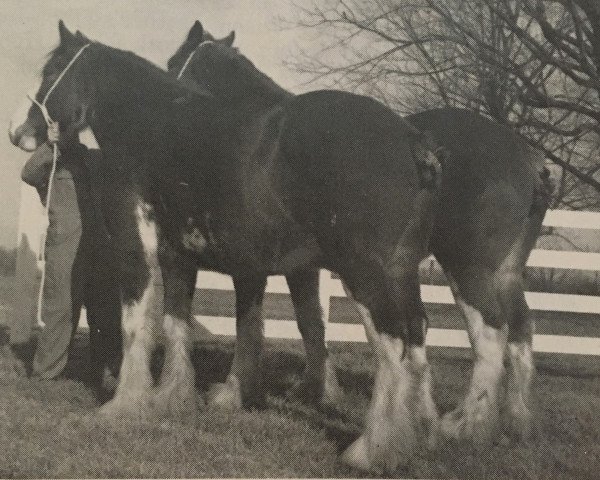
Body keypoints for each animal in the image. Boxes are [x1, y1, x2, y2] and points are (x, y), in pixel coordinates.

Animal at [7, 22, 442, 472]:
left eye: (52, 69)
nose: (17, 132)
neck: (153, 129)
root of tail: (412, 140)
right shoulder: (179, 258)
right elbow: (178, 323)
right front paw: (172, 398)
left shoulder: (138, 252)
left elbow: (136, 324)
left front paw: (125, 403)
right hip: (403, 271)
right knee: (416, 331)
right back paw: (425, 432)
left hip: (365, 273)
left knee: (391, 345)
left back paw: (371, 450)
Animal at [169, 20, 552, 450]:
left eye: (173, 62)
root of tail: (527, 157)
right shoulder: (304, 266)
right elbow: (311, 321)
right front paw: (318, 389)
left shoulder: (261, 262)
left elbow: (261, 322)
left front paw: (244, 391)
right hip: (503, 273)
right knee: (518, 329)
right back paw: (513, 423)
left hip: (464, 268)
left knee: (489, 332)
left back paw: (464, 425)